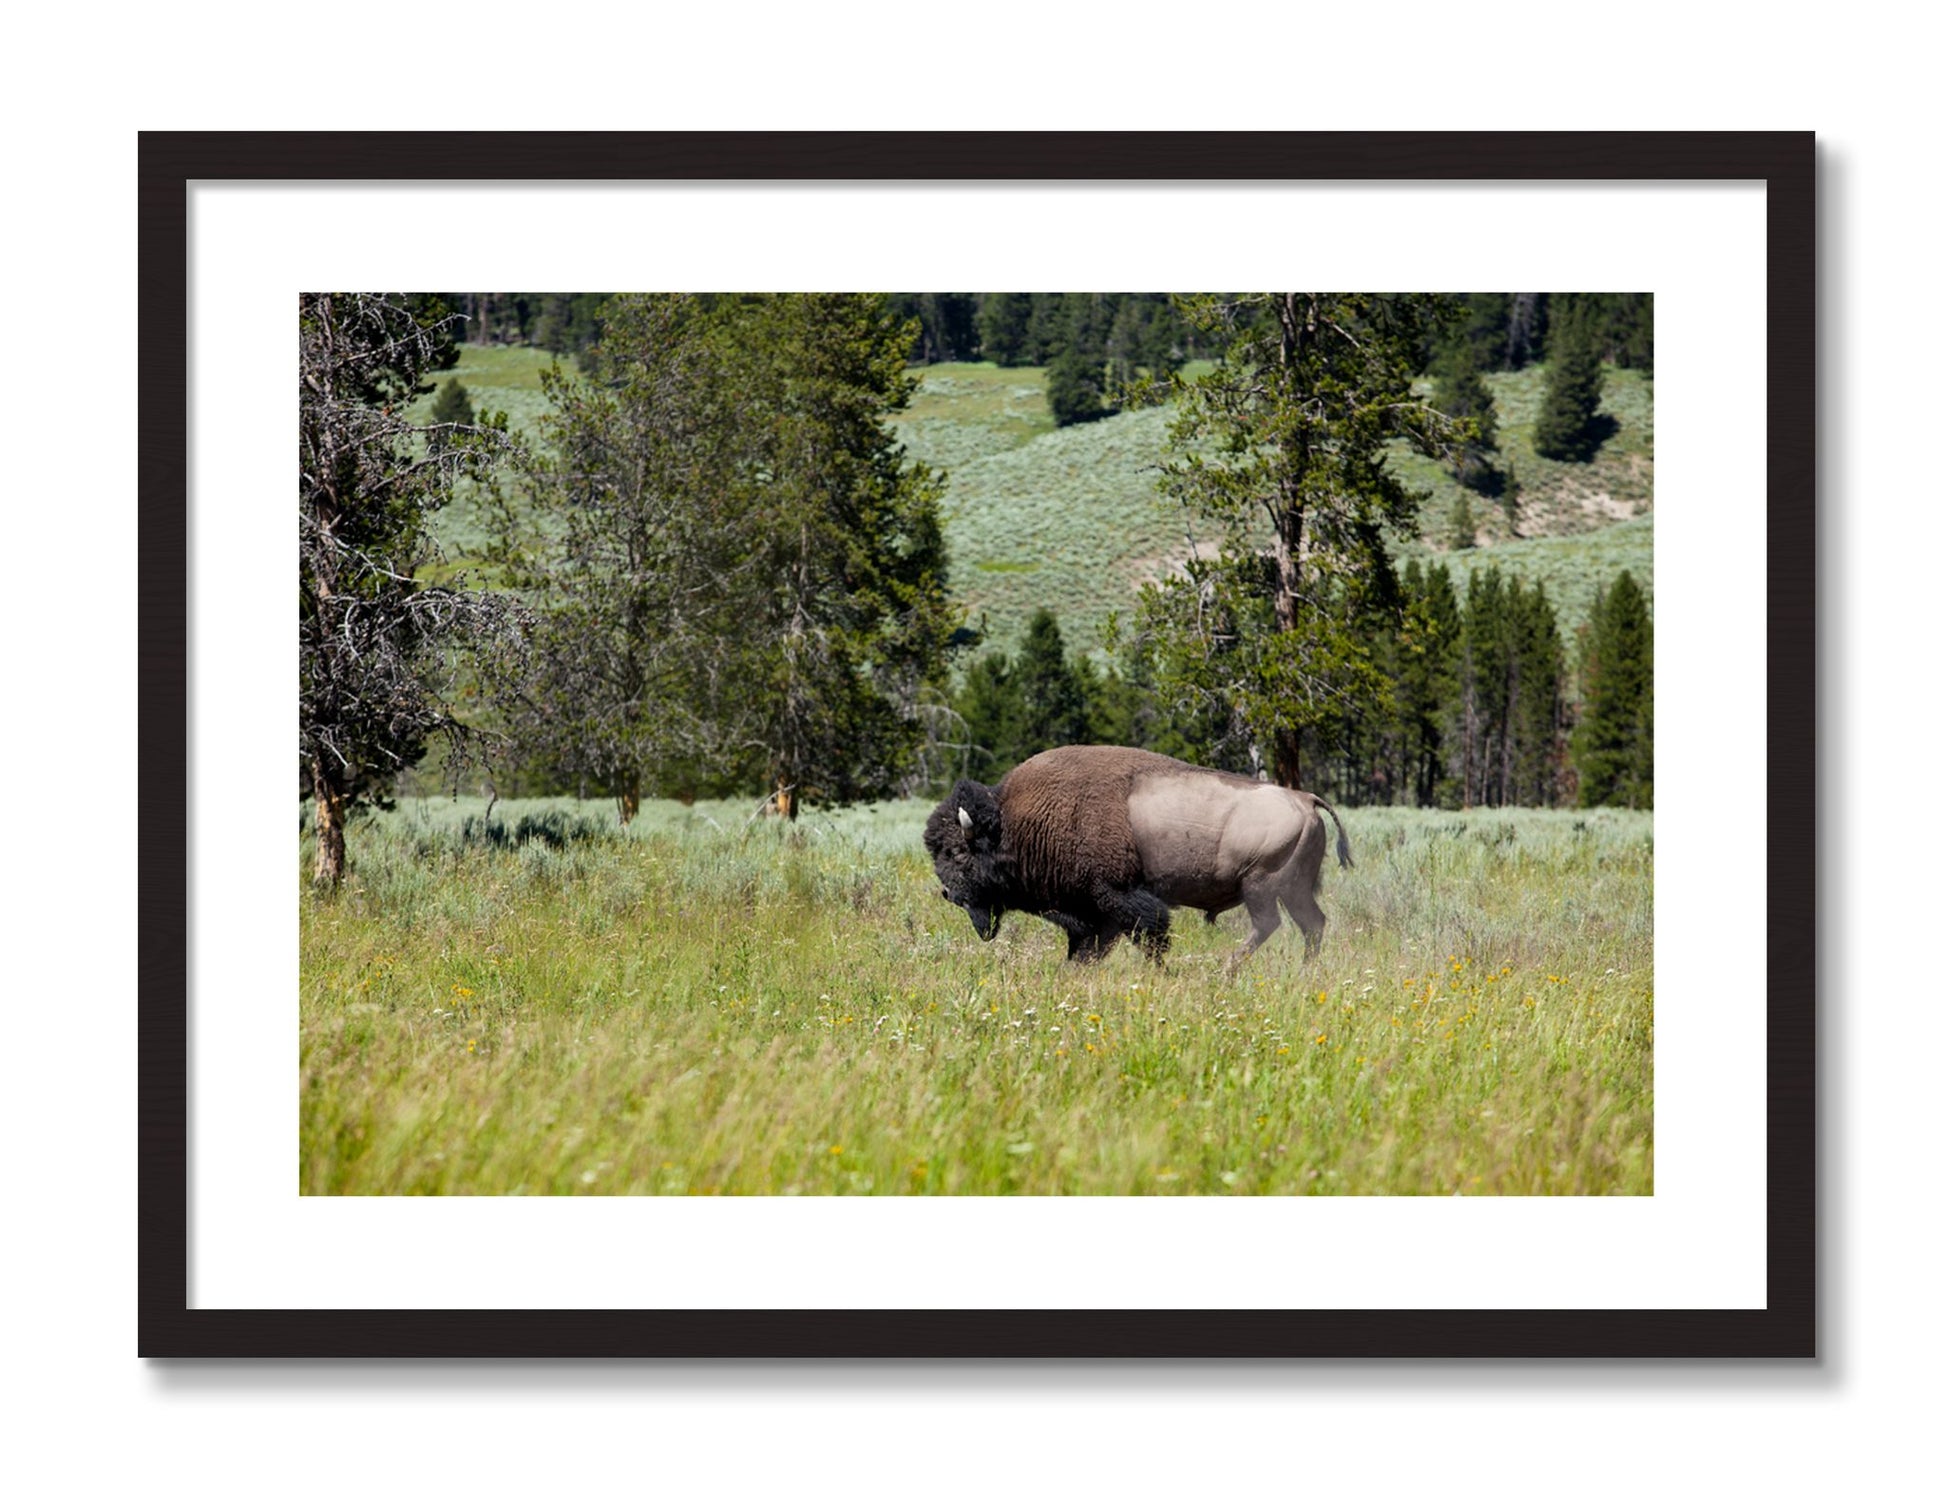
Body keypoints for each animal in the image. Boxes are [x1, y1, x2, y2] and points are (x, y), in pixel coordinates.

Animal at [923, 745, 1352, 969]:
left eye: (957, 852)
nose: (948, 893)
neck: (1014, 822)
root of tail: (1305, 799)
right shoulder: (1094, 914)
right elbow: (1088, 949)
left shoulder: (1118, 898)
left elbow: (1149, 936)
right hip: (1293, 889)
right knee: (1312, 924)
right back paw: (1302, 971)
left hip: (1261, 885)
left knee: (1270, 925)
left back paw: (1226, 970)